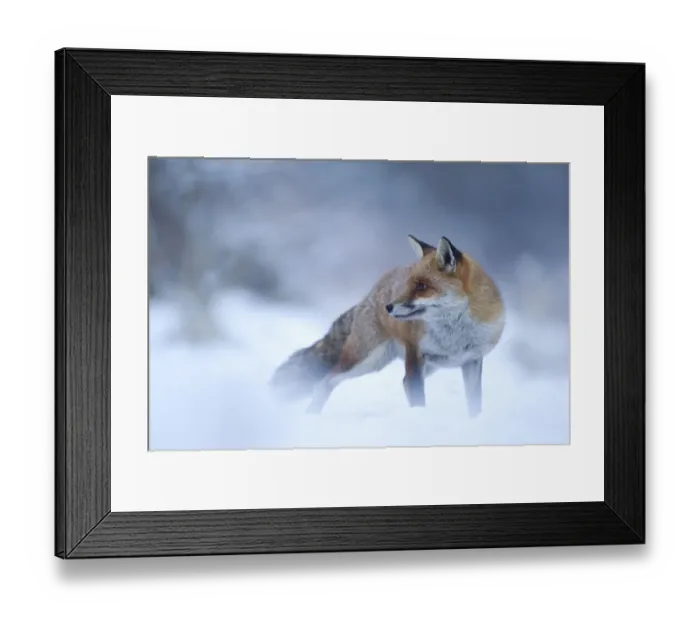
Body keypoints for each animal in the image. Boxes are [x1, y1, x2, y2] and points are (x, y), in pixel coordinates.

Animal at [270, 235, 505, 417]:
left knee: (401, 382)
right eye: (410, 284)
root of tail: (373, 290)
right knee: (326, 380)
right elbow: (419, 399)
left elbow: (475, 404)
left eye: (422, 286)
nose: (388, 307)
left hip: (425, 367)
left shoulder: (472, 361)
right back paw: (312, 415)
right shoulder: (415, 356)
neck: (455, 336)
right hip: (365, 361)